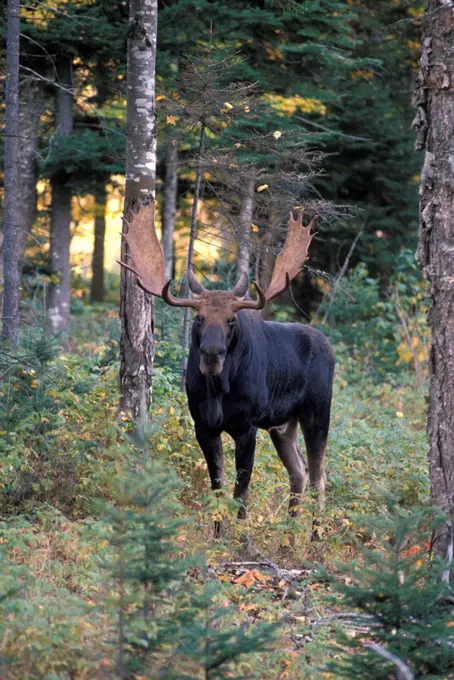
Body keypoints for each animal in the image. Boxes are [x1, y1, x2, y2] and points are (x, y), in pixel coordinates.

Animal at [119, 202, 334, 536]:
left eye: (231, 321)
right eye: (199, 318)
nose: (211, 355)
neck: (218, 392)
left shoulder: (247, 426)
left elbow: (241, 490)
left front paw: (240, 538)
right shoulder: (204, 426)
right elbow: (217, 486)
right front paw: (218, 535)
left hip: (317, 411)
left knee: (318, 476)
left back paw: (314, 536)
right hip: (283, 425)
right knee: (298, 470)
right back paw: (289, 533)